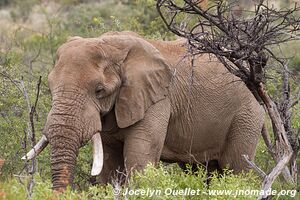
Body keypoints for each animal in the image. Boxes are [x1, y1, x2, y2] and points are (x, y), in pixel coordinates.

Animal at [22, 30, 264, 191]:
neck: (112, 45)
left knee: (236, 168)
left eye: (99, 91)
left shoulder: (157, 99)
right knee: (201, 170)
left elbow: (139, 159)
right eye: (50, 87)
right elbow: (109, 163)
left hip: (247, 113)